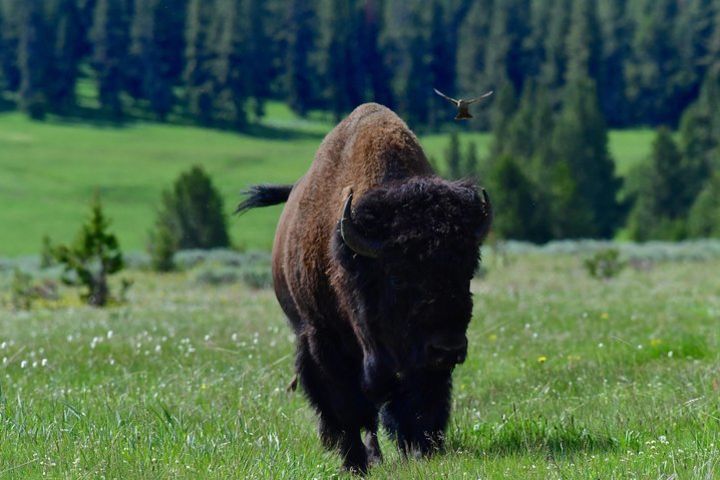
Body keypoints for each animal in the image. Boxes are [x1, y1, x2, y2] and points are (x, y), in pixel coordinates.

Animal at [236, 102, 490, 472]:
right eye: (397, 276)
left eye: (467, 270)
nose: (448, 347)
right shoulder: (323, 339)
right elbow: (347, 404)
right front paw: (354, 463)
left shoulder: (419, 362)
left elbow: (418, 399)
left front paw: (420, 451)